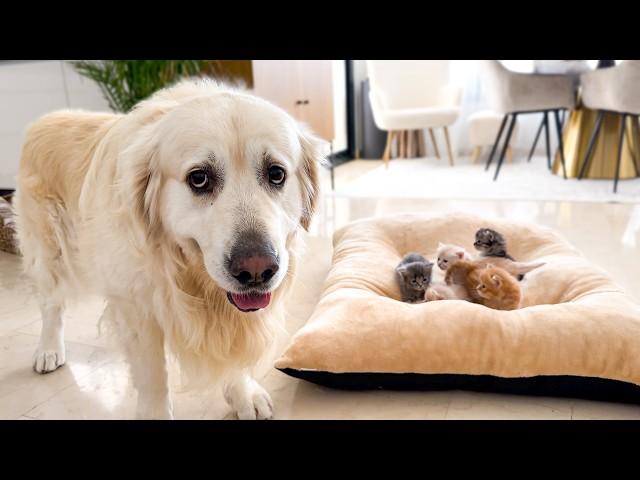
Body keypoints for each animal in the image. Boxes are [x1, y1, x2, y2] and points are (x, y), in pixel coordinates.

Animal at [13, 80, 324, 418]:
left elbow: (234, 351)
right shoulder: (137, 308)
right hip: (49, 254)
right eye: (199, 178)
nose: (257, 269)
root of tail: (45, 118)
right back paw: (48, 350)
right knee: (51, 305)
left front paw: (243, 394)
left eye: (276, 174)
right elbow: (153, 376)